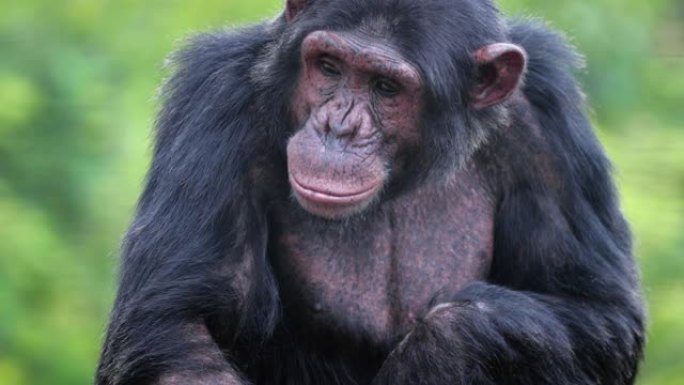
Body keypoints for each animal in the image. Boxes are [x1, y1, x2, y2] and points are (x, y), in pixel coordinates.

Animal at [96, 0, 648, 382]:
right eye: (329, 67)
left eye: (386, 87)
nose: (338, 127)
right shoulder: (215, 97)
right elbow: (177, 328)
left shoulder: (547, 118)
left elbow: (599, 310)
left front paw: (445, 344)